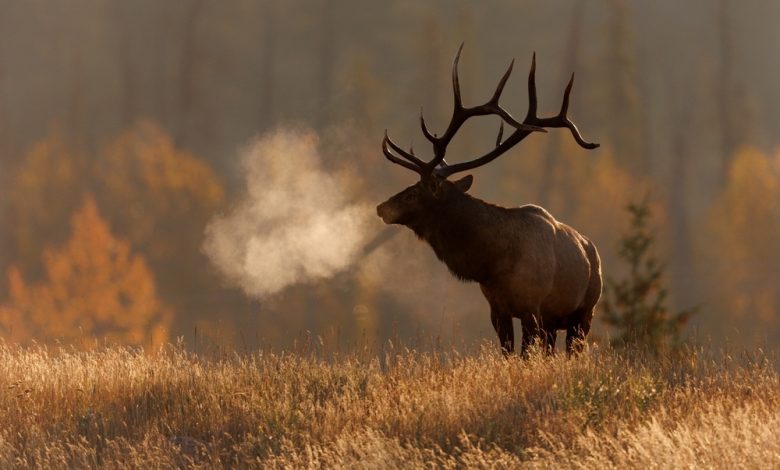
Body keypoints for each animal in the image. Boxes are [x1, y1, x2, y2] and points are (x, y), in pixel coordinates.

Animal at [376, 45, 602, 357]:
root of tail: (593, 250)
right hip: (554, 321)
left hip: (584, 313)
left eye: (413, 192)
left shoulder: (532, 307)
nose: (381, 207)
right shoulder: (497, 309)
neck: (493, 264)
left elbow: (525, 357)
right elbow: (508, 354)